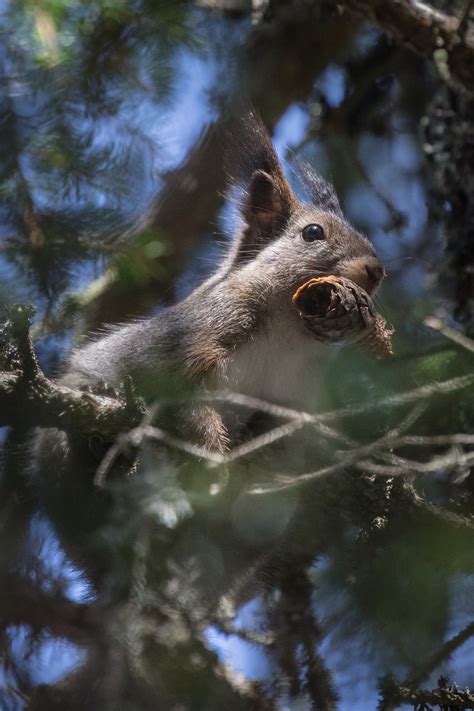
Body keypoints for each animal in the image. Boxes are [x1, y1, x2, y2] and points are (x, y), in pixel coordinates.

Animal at [59, 111, 386, 456]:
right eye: (313, 232)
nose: (377, 269)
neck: (287, 330)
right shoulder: (192, 339)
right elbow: (185, 403)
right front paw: (213, 451)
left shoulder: (288, 395)